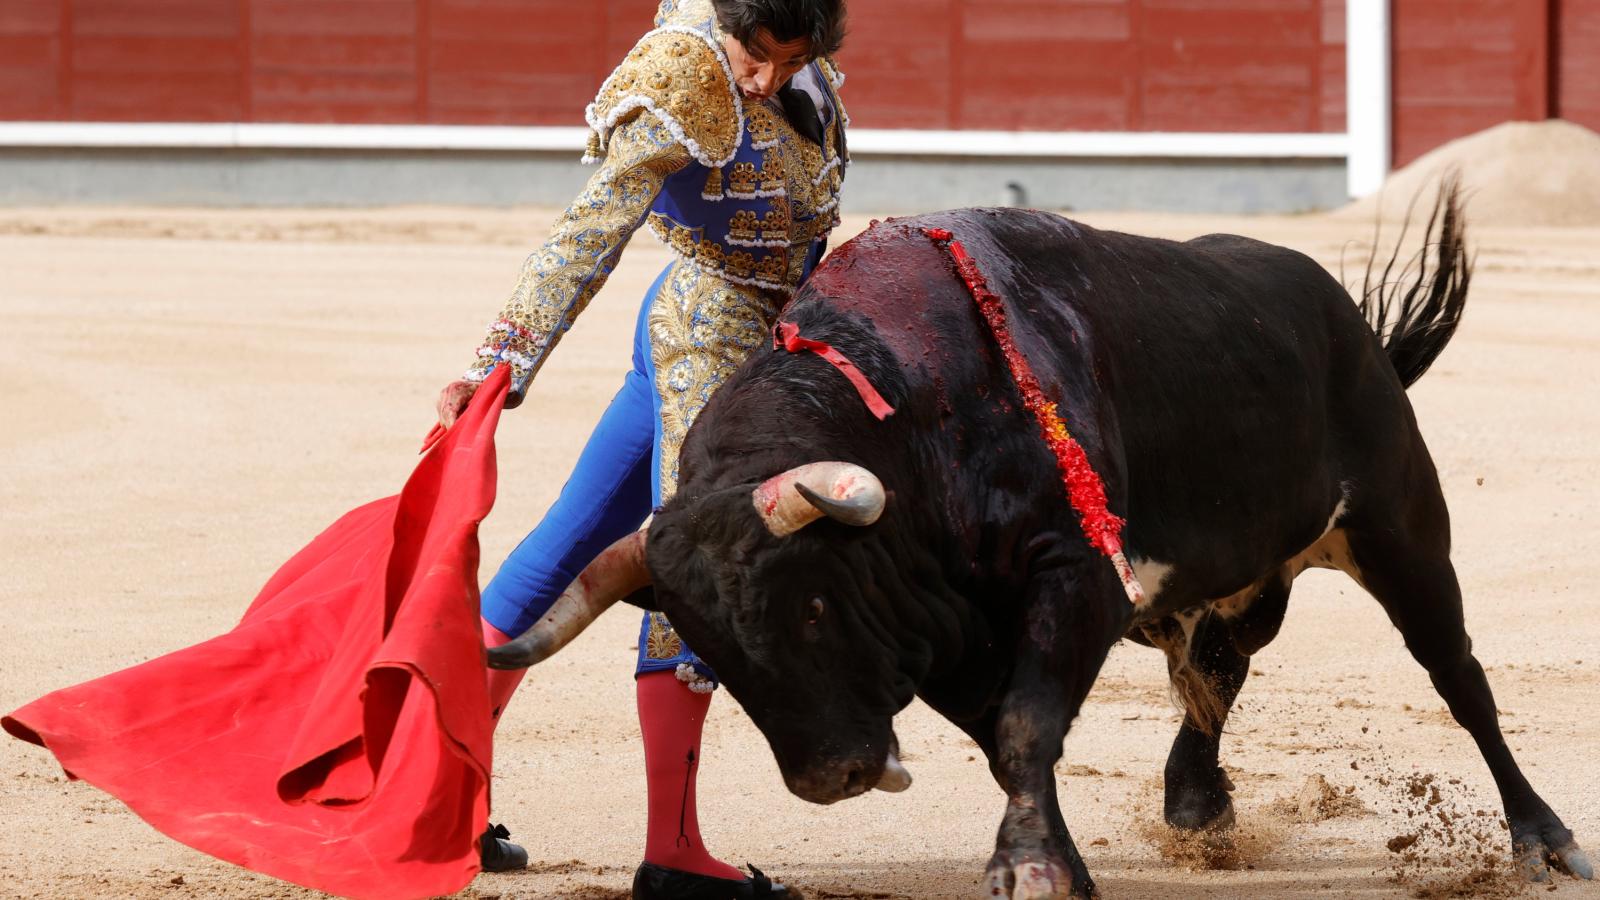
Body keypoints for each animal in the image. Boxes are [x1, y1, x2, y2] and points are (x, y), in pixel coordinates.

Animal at [486, 187, 1587, 890]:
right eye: (710, 651)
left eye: (812, 604)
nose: (830, 778)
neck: (912, 417)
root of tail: (1344, 316)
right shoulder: (953, 629)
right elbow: (1008, 736)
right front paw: (1055, 859)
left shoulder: (1076, 577)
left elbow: (1024, 725)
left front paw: (1032, 870)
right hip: (1227, 581)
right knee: (1218, 669)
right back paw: (1197, 807)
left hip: (1401, 526)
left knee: (1458, 677)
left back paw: (1544, 842)